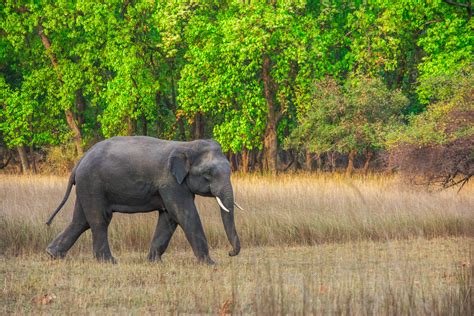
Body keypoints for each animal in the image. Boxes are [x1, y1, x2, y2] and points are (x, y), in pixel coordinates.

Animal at [44, 136, 241, 264]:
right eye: (208, 174)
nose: (230, 253)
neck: (185, 145)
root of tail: (80, 160)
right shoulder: (170, 182)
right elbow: (185, 214)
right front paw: (210, 263)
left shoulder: (175, 185)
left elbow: (169, 217)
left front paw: (154, 262)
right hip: (93, 184)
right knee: (99, 219)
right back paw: (109, 262)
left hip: (87, 186)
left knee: (81, 221)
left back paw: (52, 255)